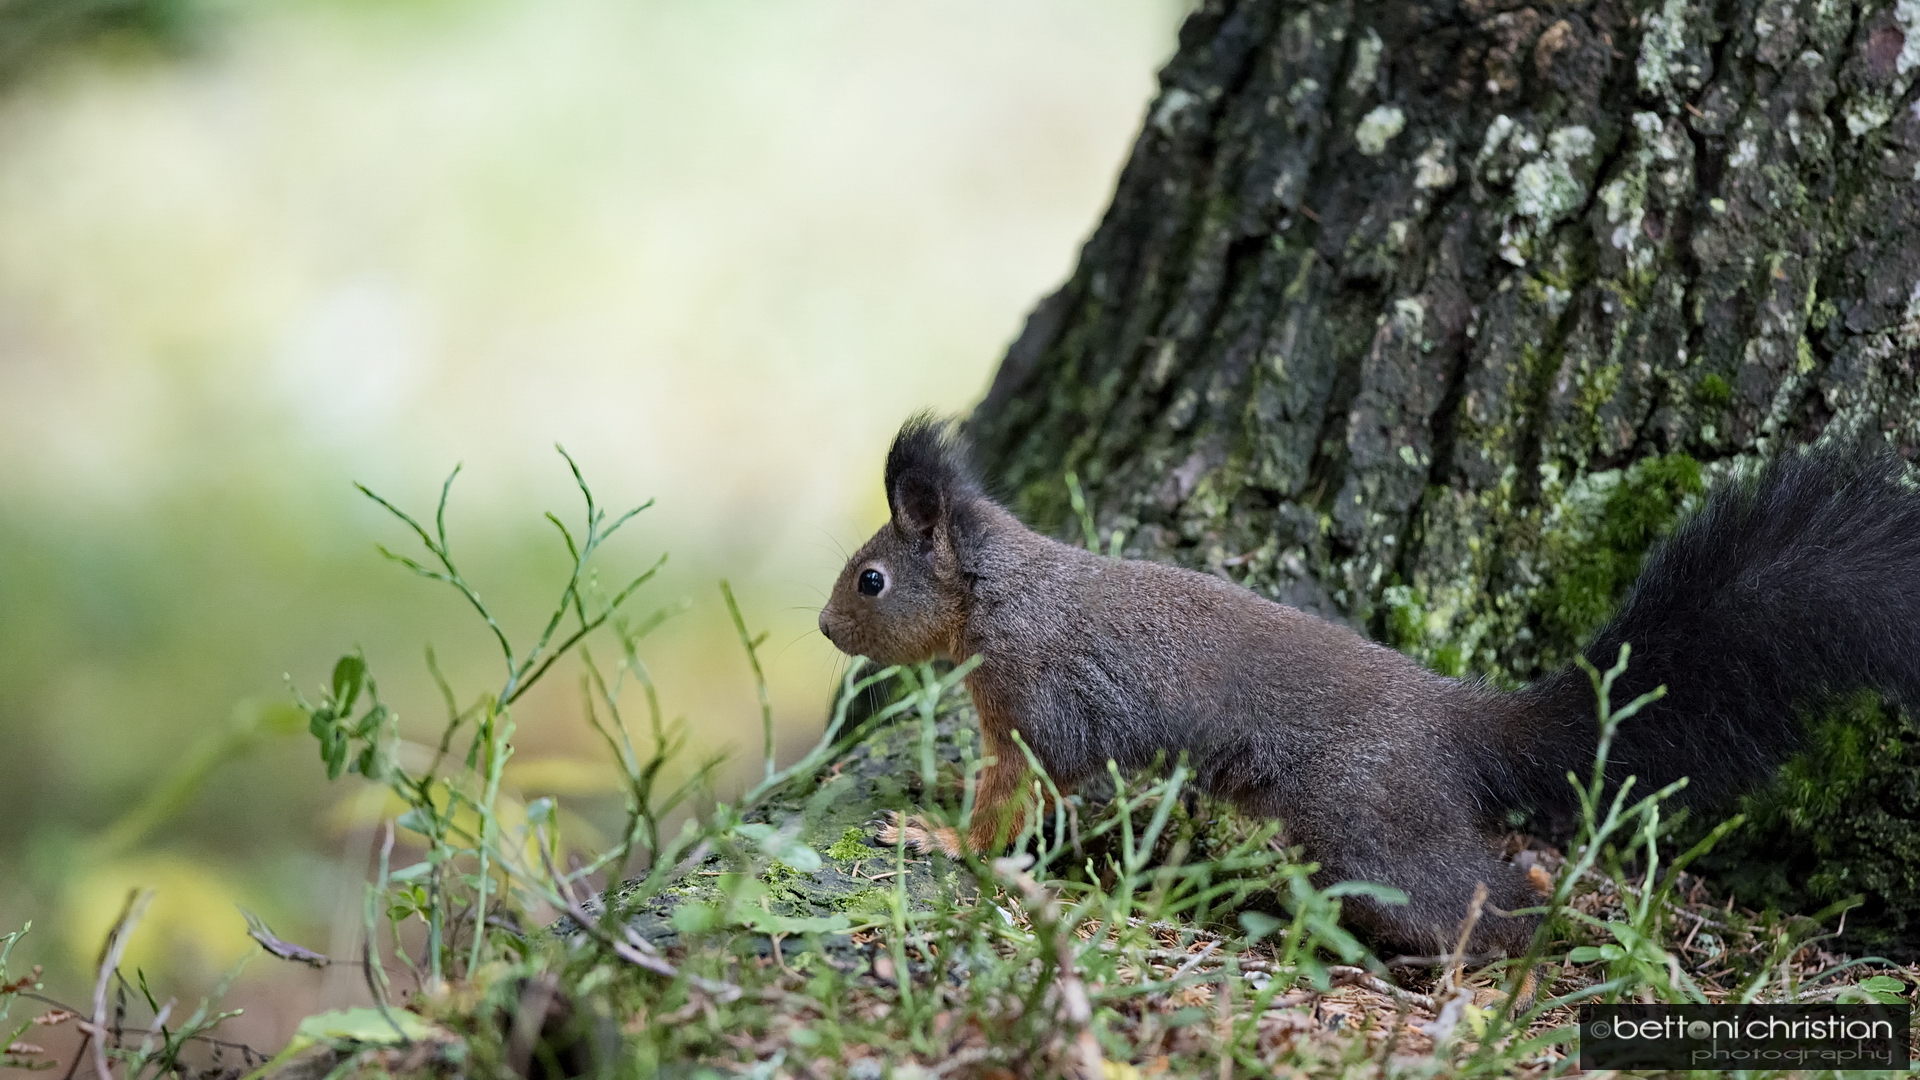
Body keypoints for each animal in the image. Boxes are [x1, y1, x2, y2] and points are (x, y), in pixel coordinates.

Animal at [816, 415, 1920, 958]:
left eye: (872, 579)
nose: (824, 629)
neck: (1005, 594)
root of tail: (1461, 721)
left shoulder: (1038, 707)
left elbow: (1015, 797)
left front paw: (938, 838)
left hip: (1366, 820)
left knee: (1480, 903)